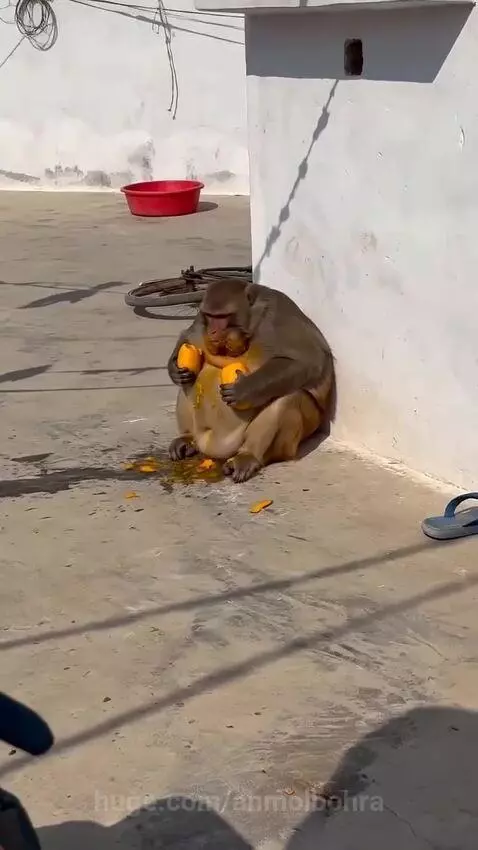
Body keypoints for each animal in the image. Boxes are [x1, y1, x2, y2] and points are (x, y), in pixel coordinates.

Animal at [167, 278, 334, 483]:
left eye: (223, 317)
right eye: (209, 315)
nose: (212, 331)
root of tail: (212, 448)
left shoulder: (277, 315)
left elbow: (309, 360)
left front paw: (244, 389)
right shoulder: (201, 318)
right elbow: (189, 337)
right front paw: (174, 368)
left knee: (288, 398)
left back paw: (249, 455)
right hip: (202, 435)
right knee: (187, 382)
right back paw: (187, 438)